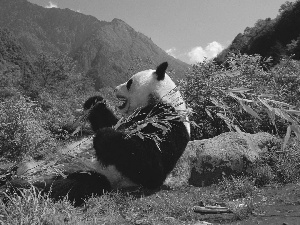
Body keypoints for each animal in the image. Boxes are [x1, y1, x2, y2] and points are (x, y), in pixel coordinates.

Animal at [2, 61, 190, 206]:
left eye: (129, 82)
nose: (115, 89)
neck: (163, 99)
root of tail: (30, 170)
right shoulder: (129, 119)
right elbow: (108, 121)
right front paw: (95, 101)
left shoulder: (169, 124)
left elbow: (151, 167)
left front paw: (104, 137)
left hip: (89, 174)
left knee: (65, 187)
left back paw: (14, 188)